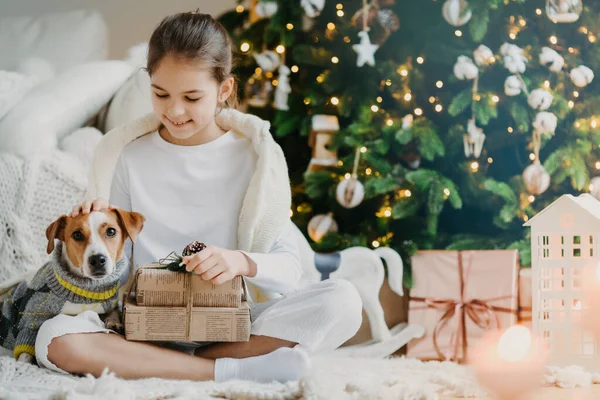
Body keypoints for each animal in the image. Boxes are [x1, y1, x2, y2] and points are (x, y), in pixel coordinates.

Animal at [0, 208, 145, 364]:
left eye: (111, 231)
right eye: (77, 234)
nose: (97, 260)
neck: (84, 289)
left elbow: (114, 311)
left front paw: (114, 322)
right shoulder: (31, 320)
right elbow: (25, 351)